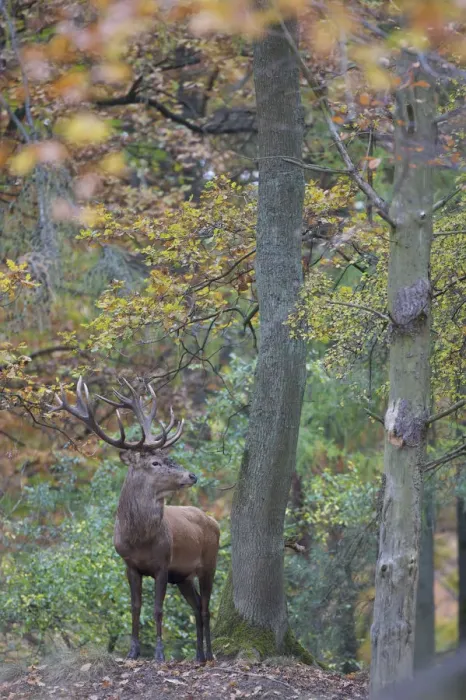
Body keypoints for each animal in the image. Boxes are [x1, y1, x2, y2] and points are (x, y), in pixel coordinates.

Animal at [49, 377, 220, 663]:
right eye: (155, 462)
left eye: (169, 458)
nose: (192, 475)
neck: (139, 539)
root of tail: (214, 521)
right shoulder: (129, 565)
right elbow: (136, 607)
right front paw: (133, 651)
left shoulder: (163, 564)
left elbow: (158, 609)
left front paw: (159, 654)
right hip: (184, 577)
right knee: (197, 606)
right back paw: (197, 655)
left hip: (209, 562)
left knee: (207, 607)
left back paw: (209, 654)